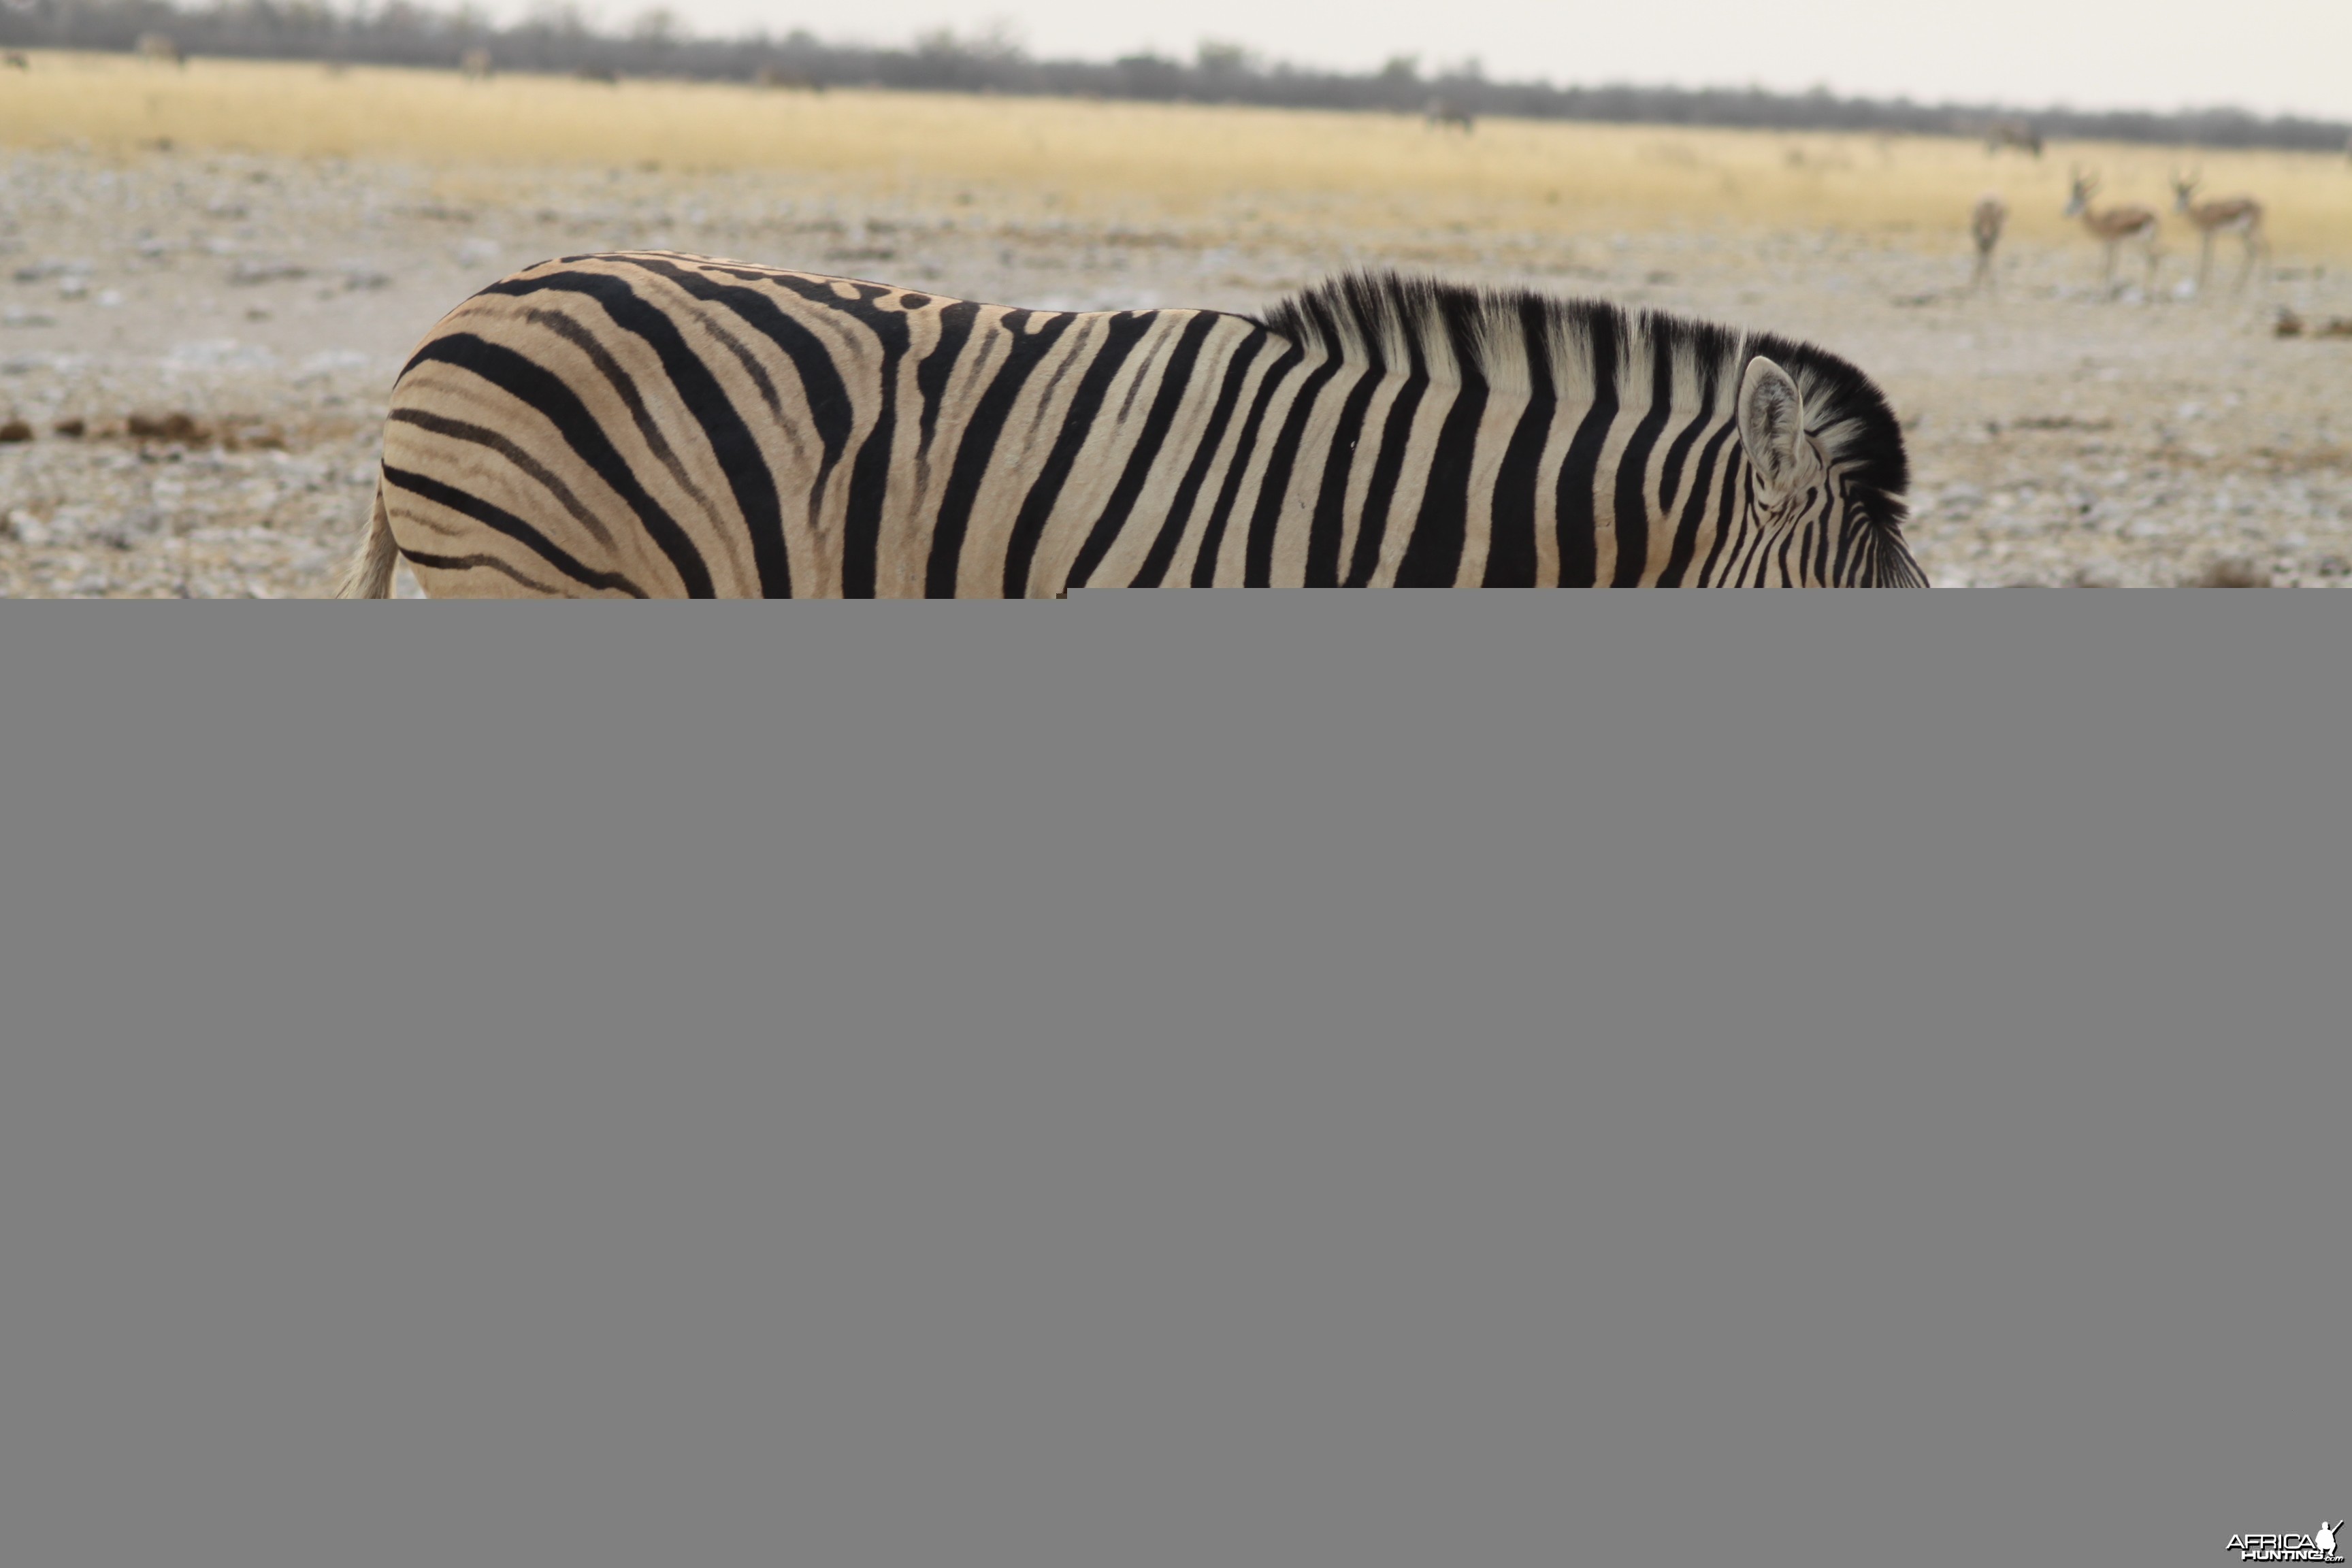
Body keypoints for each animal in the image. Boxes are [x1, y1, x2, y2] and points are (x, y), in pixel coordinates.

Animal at [1966, 193, 2004, 291]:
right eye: (1981, 221)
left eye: (1993, 223)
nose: (1985, 237)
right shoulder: (1978, 245)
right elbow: (1979, 263)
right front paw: (1974, 284)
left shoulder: (1992, 245)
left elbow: (1988, 263)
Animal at [2070, 172, 2154, 297]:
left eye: (2077, 201)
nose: (2067, 212)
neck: (2101, 222)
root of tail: (2152, 216)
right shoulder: (2111, 243)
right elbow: (2108, 264)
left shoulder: (2111, 242)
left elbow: (2108, 265)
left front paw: (2104, 292)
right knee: (2154, 258)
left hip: (2141, 241)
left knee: (2149, 259)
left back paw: (2146, 292)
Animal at [2163, 172, 2257, 293]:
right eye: (2177, 195)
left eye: (2187, 196)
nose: (2176, 210)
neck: (2202, 214)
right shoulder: (2205, 235)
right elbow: (2203, 254)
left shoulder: (2212, 233)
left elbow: (2209, 255)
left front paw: (2204, 283)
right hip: (2244, 233)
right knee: (2252, 251)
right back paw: (2237, 285)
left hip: (2250, 231)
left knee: (2256, 250)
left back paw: (2238, 286)